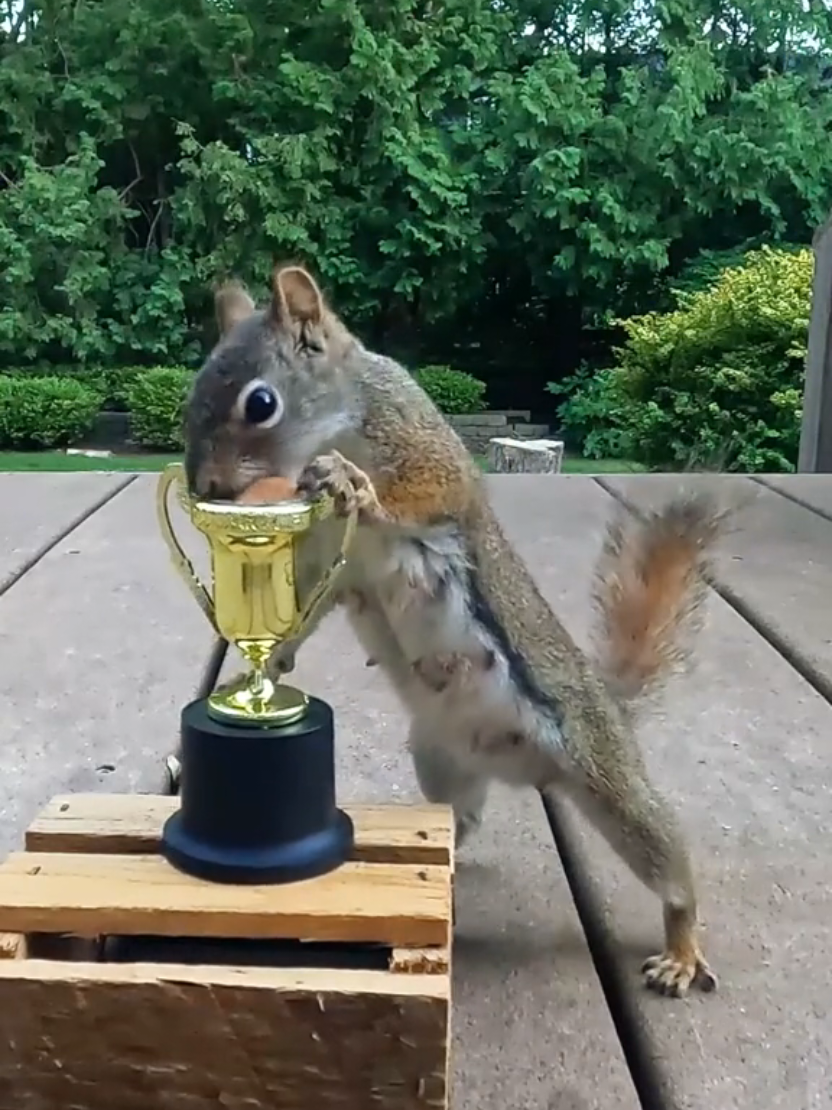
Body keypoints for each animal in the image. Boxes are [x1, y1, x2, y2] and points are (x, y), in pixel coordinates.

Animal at [183, 263, 730, 1000]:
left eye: (260, 403)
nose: (203, 486)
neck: (336, 423)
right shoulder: (328, 560)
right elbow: (308, 606)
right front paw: (270, 662)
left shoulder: (423, 452)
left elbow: (423, 496)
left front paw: (351, 482)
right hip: (443, 763)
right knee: (460, 823)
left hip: (607, 779)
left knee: (667, 860)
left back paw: (681, 945)